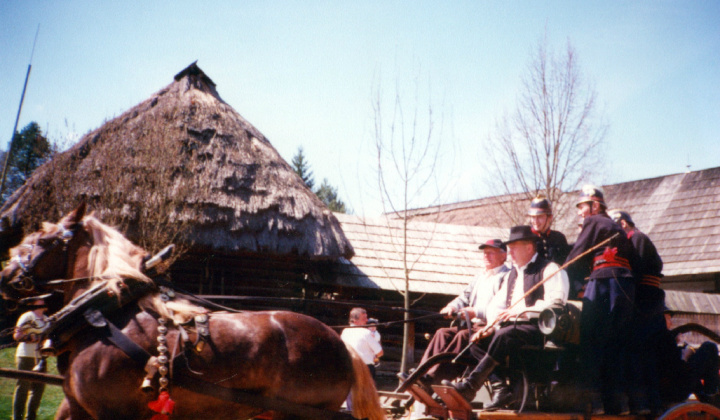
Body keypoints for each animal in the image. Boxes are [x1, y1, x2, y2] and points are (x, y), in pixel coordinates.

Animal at [0, 203, 386, 420]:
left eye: (44, 240)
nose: (6, 274)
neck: (103, 315)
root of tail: (341, 343)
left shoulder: (112, 411)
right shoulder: (78, 407)